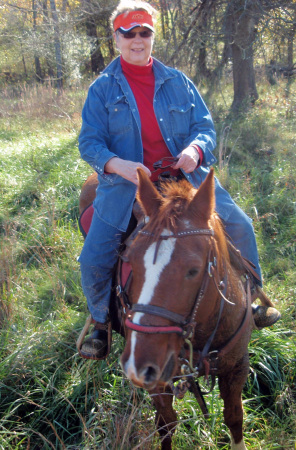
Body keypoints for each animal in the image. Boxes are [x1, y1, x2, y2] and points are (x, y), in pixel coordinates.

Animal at [78, 169, 272, 450]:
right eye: (129, 261)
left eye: (194, 270)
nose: (139, 364)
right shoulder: (158, 381)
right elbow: (166, 424)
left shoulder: (238, 366)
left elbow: (235, 417)